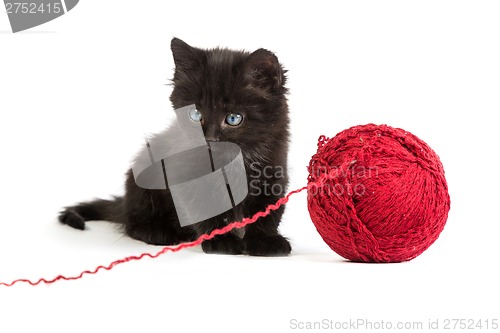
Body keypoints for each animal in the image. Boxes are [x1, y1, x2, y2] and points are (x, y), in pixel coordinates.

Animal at [60, 39, 292, 255]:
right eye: (195, 114)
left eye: (233, 118)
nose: (209, 139)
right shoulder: (185, 174)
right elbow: (204, 207)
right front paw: (221, 240)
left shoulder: (273, 173)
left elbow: (268, 211)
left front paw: (264, 241)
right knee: (132, 222)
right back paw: (158, 231)